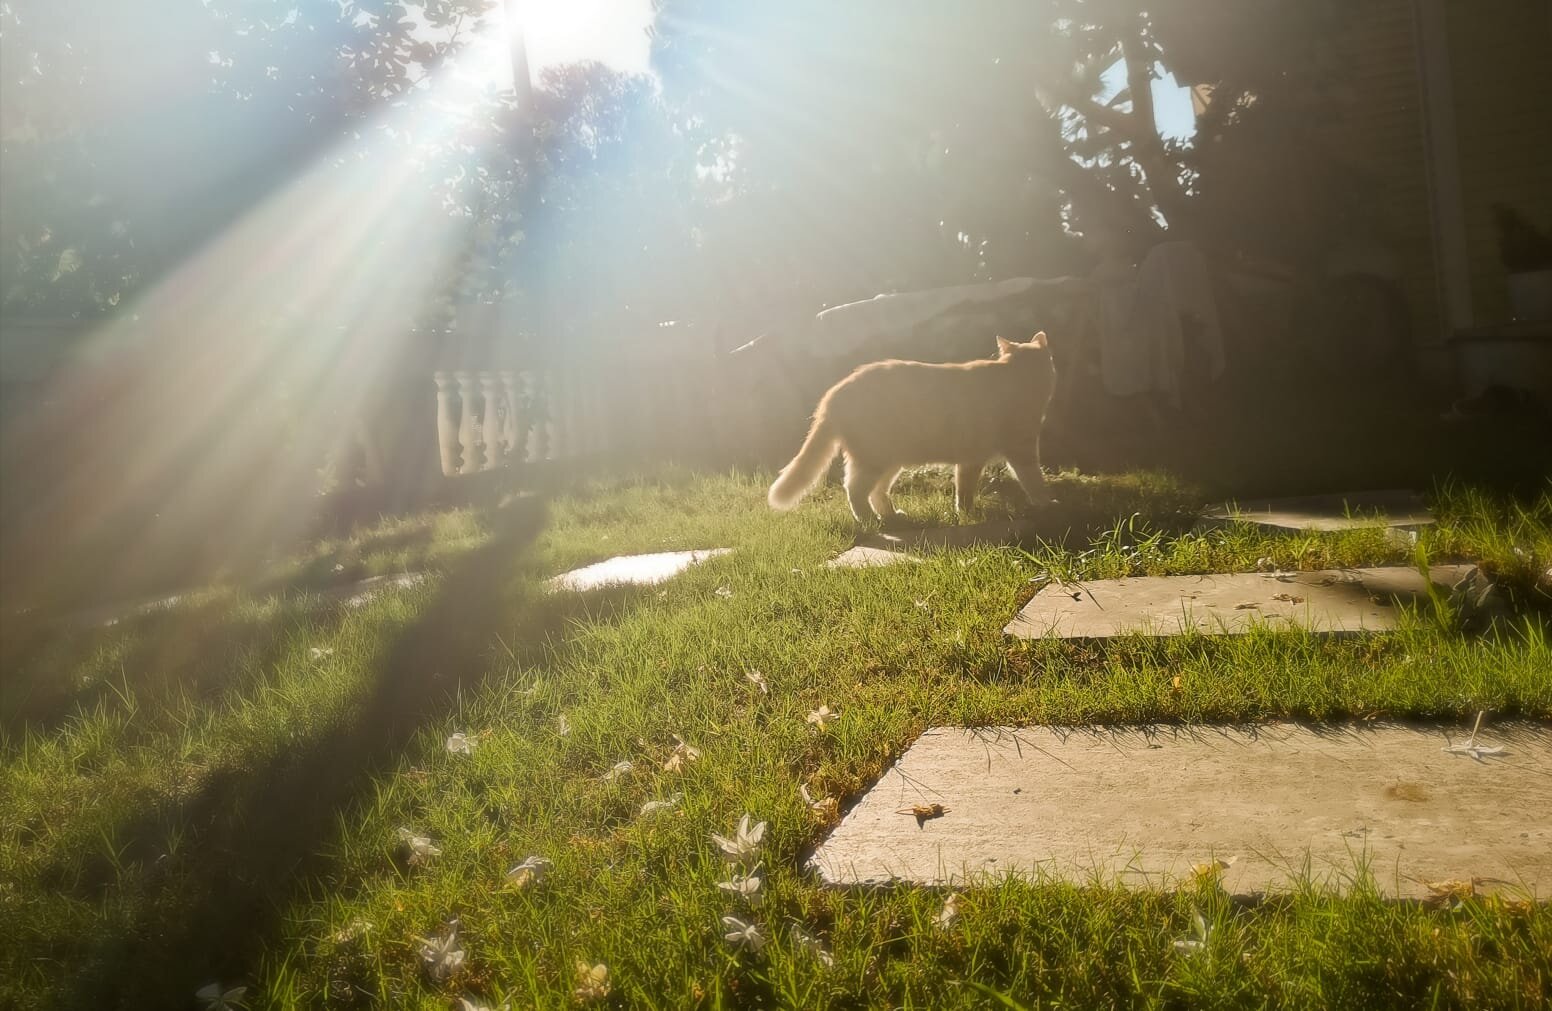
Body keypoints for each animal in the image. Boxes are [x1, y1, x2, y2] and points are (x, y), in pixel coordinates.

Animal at [766, 333, 1055, 524]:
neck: (1013, 377)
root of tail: (833, 393)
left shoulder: (970, 461)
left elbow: (964, 491)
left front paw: (965, 513)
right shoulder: (1013, 453)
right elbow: (1032, 481)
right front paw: (1045, 503)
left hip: (889, 463)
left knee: (876, 492)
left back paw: (891, 515)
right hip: (874, 460)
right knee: (854, 490)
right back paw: (869, 520)